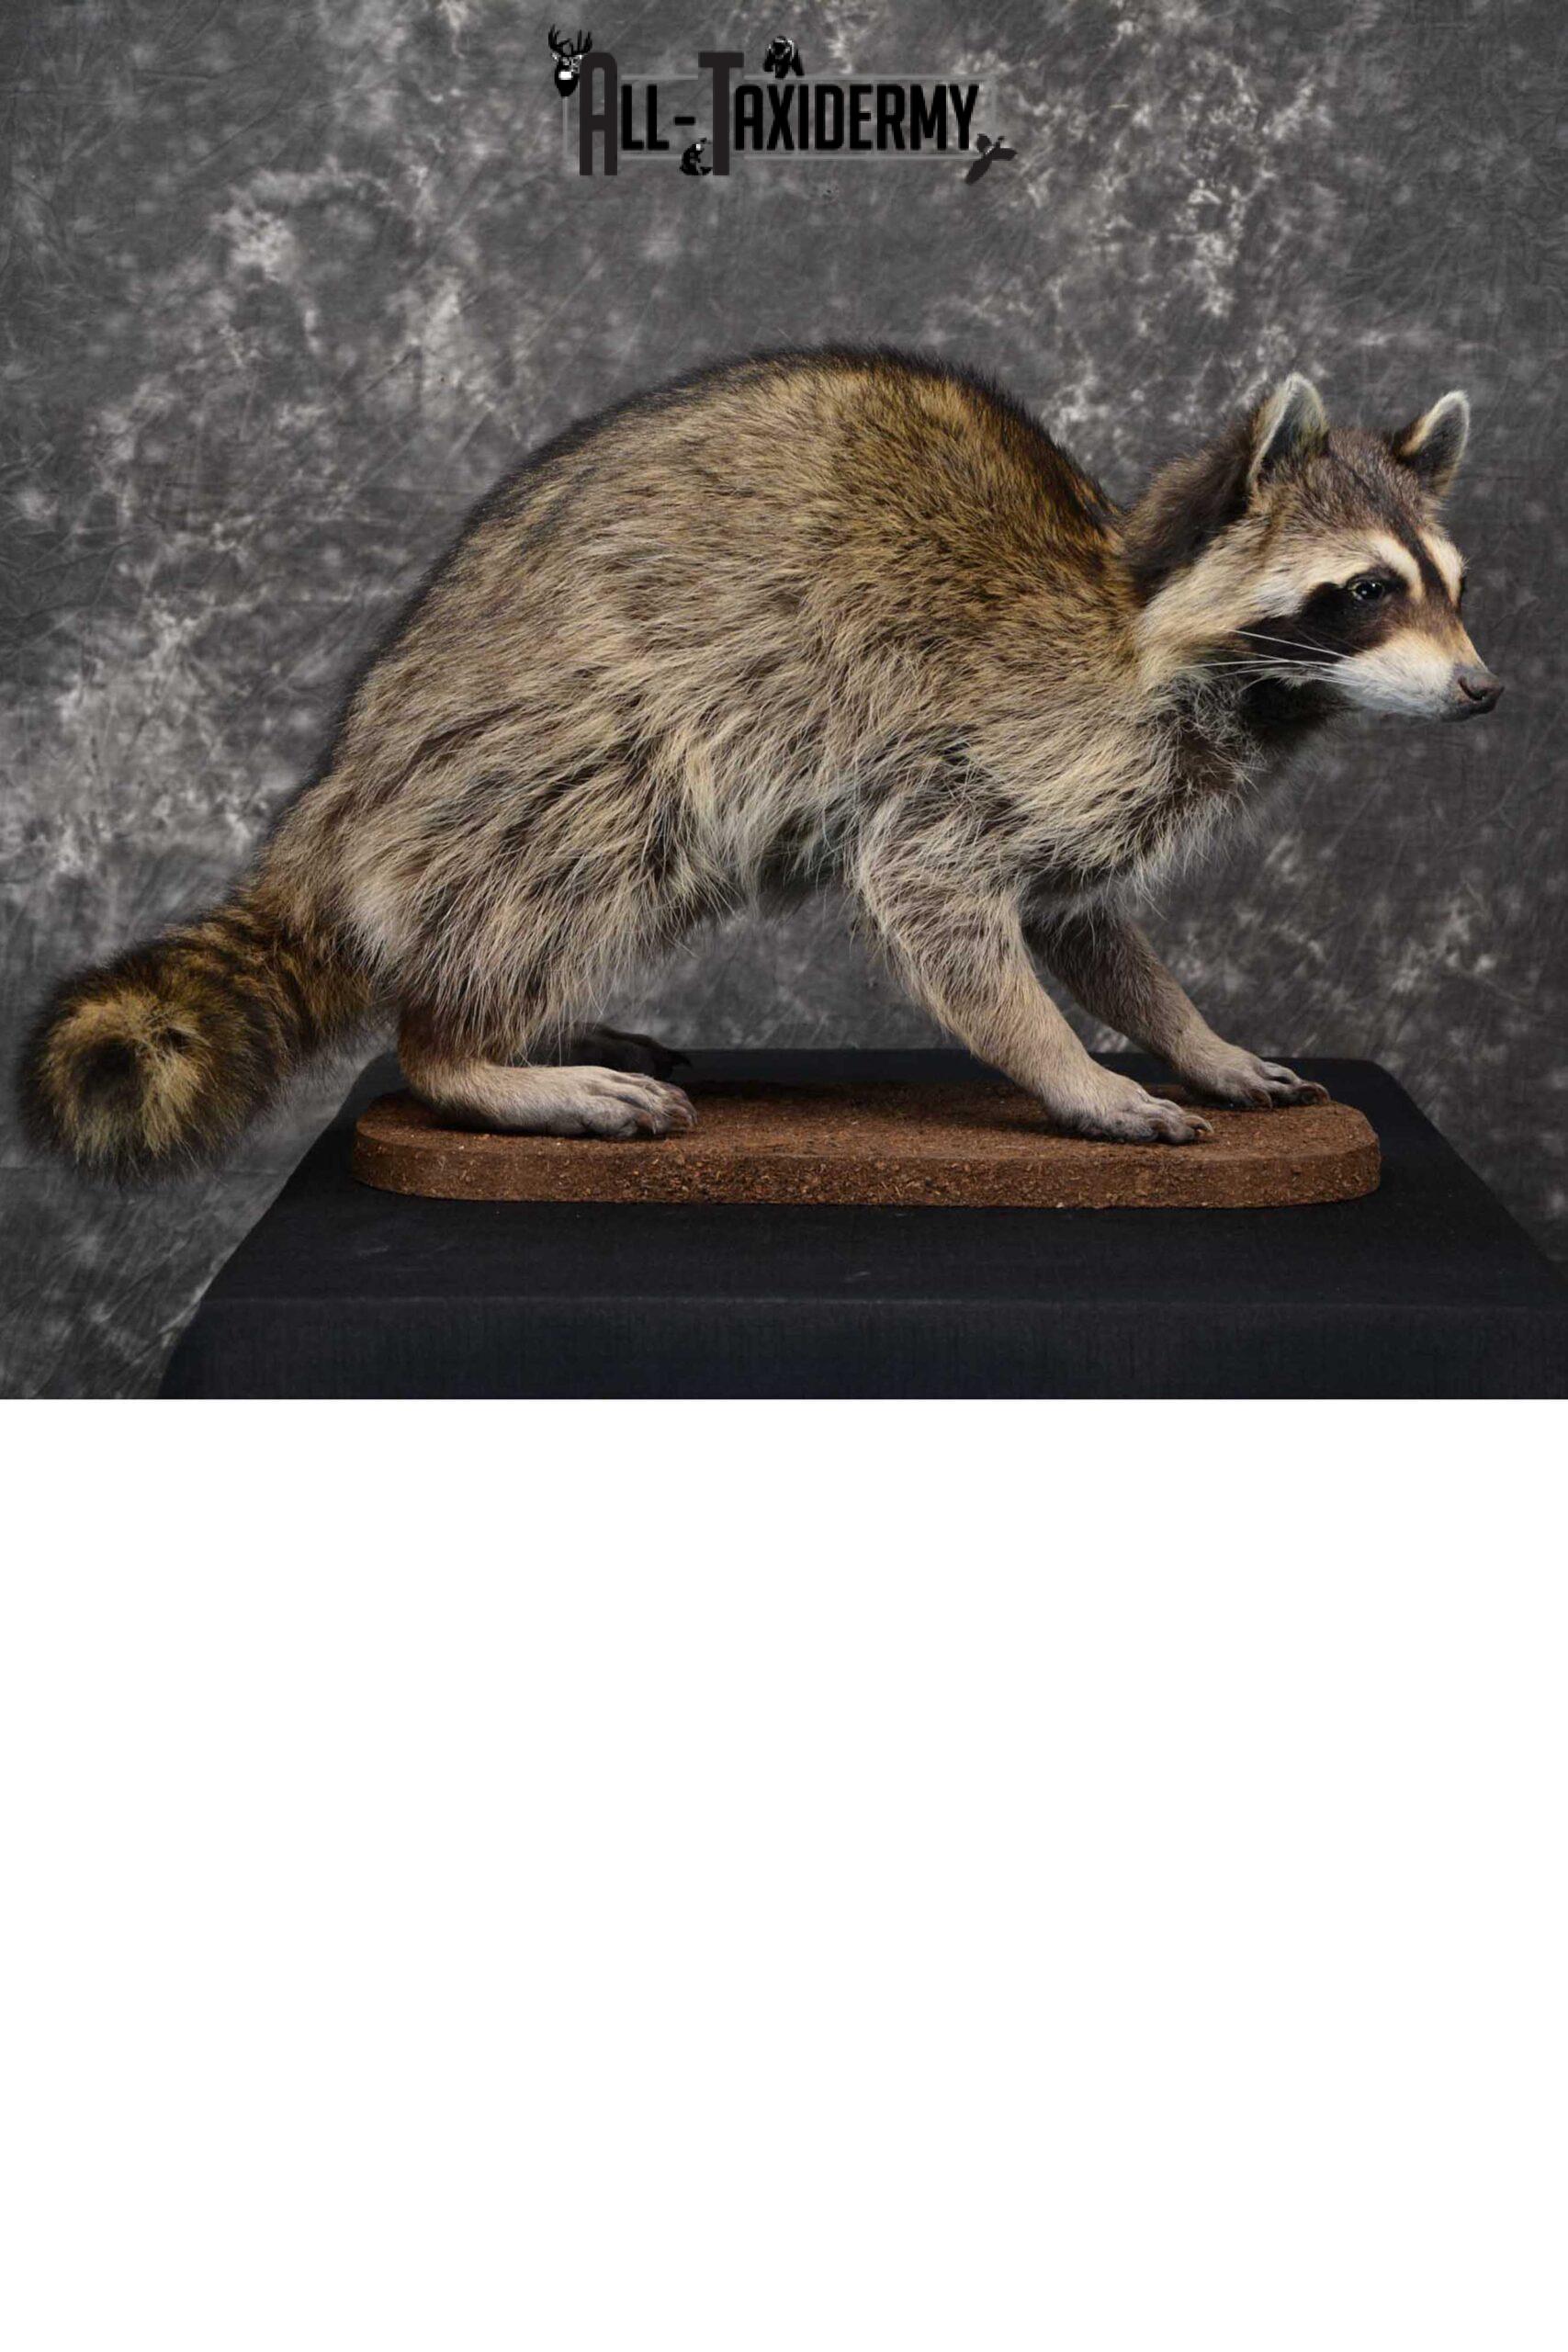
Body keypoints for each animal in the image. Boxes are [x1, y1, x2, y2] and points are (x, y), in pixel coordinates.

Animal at [21, 349, 1500, 1176]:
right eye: (1367, 591)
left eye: (1456, 585)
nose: (1483, 690)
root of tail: (340, 796)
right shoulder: (994, 734)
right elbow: (937, 901)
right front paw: (1070, 1072)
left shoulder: (1102, 789)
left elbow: (1087, 928)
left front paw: (1191, 1035)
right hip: (549, 743)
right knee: (587, 847)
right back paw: (469, 1053)